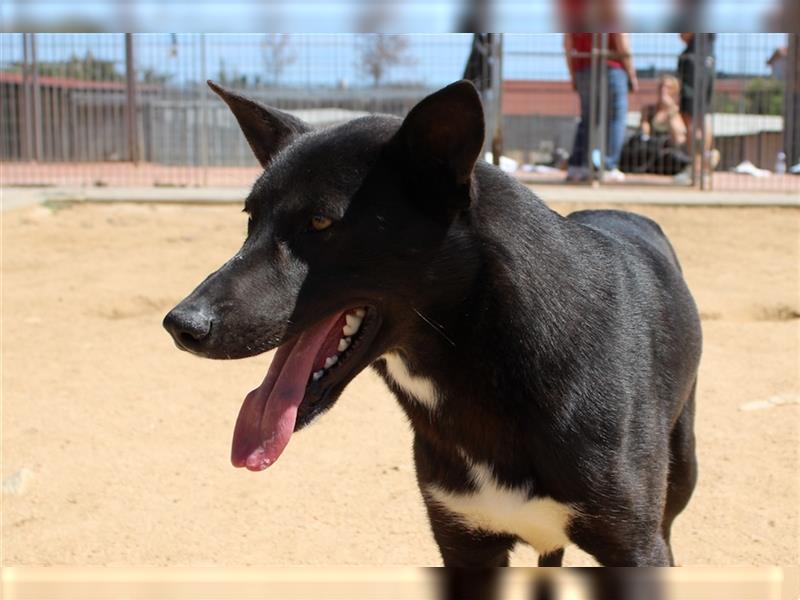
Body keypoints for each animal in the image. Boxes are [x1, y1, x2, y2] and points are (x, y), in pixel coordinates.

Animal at [164, 79, 700, 568]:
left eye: (320, 222)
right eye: (250, 219)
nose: (181, 325)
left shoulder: (634, 548)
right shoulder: (464, 542)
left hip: (681, 475)